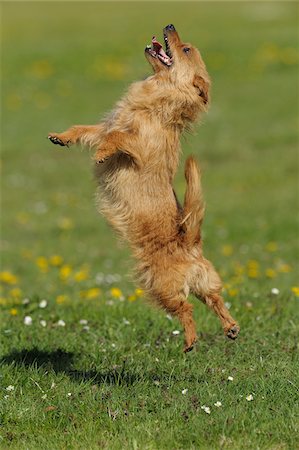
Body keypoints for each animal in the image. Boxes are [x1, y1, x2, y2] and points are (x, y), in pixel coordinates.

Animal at [49, 23, 241, 352]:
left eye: (186, 49)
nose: (170, 24)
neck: (158, 95)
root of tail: (190, 242)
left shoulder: (138, 145)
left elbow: (117, 138)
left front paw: (102, 153)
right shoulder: (103, 126)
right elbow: (87, 130)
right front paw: (61, 137)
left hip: (158, 286)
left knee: (186, 309)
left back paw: (190, 340)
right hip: (203, 280)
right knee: (214, 298)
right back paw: (230, 327)